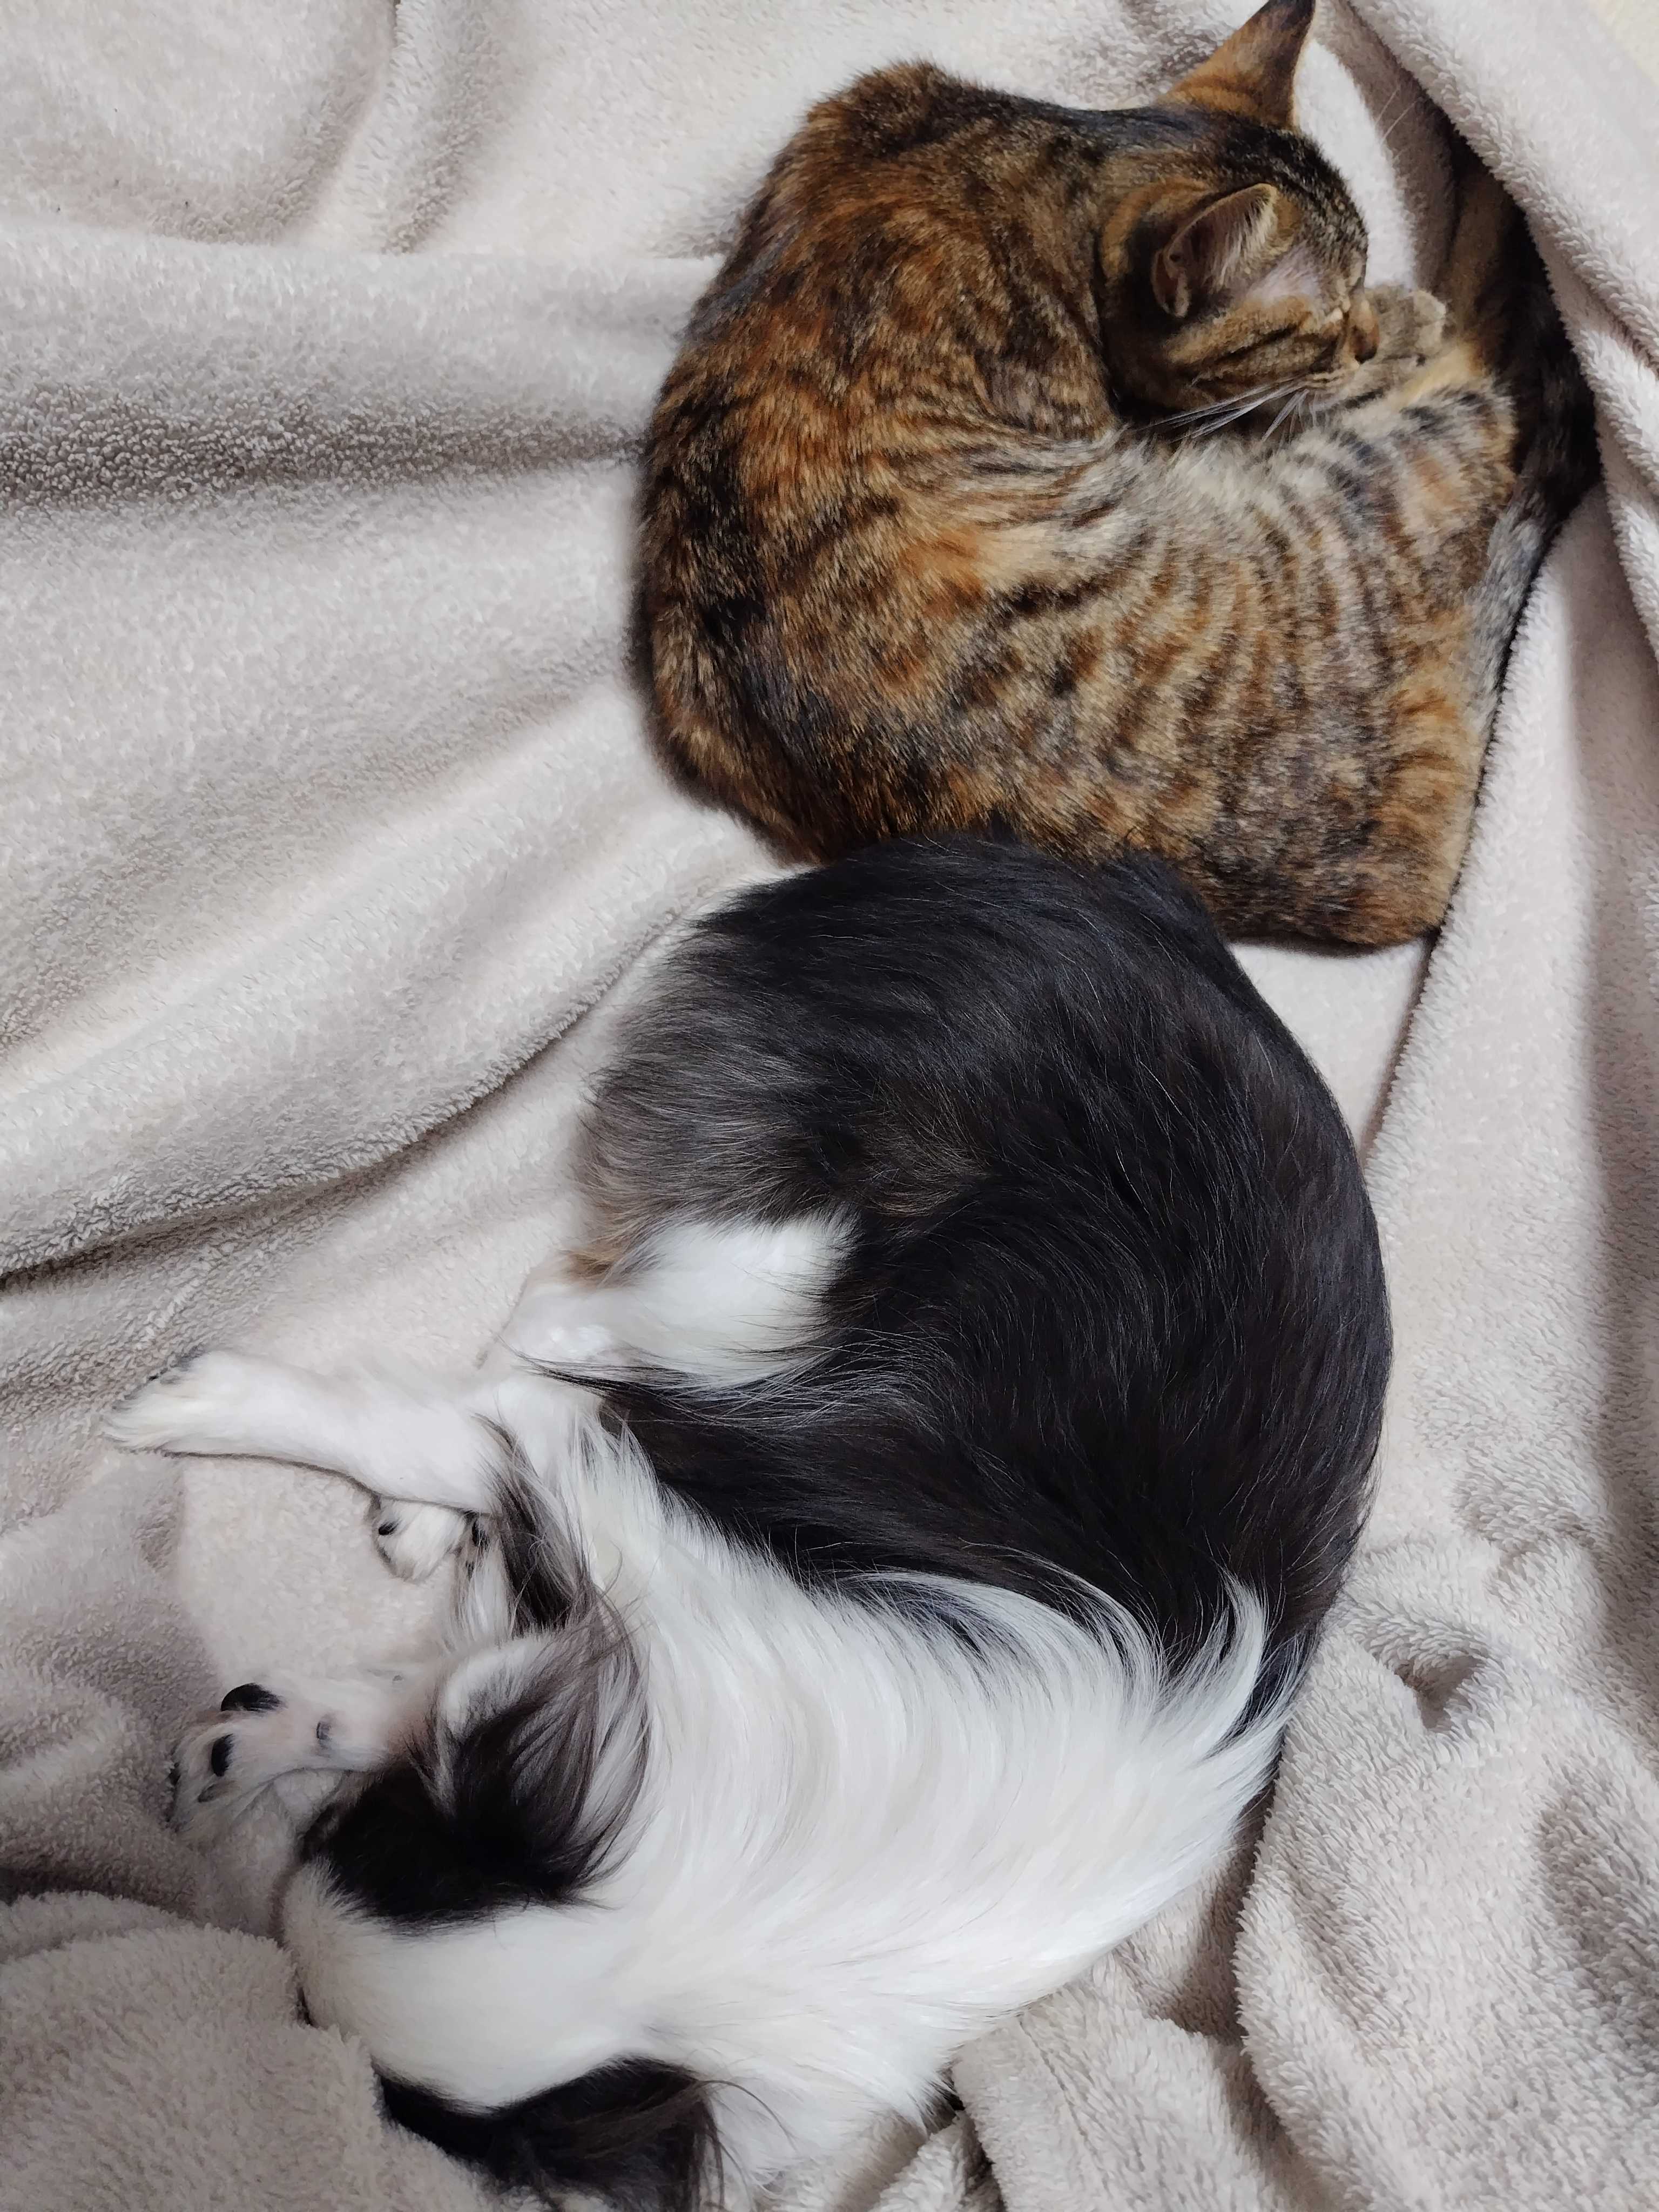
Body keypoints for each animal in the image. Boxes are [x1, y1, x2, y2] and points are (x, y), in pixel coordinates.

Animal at [108, 837, 1389, 2210]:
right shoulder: (636, 1481)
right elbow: (421, 1434)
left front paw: (246, 1740)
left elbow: (397, 1681)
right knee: (560, 1307)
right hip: (757, 1267)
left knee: (561, 1309)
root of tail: (1119, 890)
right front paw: (192, 1409)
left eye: (347, 1833)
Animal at [641, 0, 1597, 945]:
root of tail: (1402, 876)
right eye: (1324, 328)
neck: (1058, 169)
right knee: (1497, 376)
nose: (1365, 330)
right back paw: (1502, 226)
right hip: (1341, 469)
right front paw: (1402, 319)